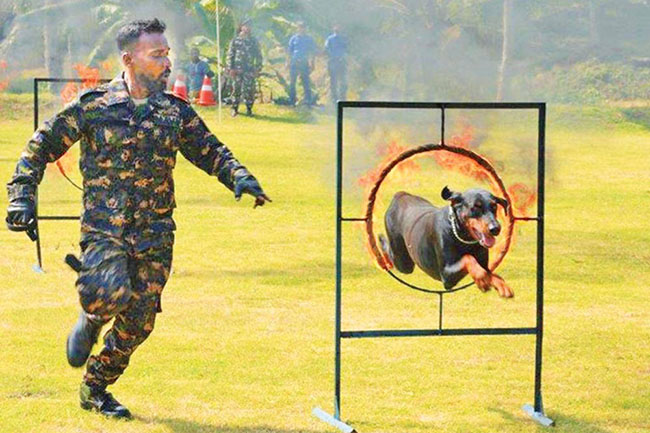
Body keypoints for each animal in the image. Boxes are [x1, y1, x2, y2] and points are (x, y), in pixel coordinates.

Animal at [380, 186, 512, 296]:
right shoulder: (446, 276)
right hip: (403, 260)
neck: (464, 239)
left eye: (494, 206)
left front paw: (502, 285)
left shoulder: (484, 264)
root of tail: (400, 195)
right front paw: (481, 278)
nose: (495, 229)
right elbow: (468, 258)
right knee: (392, 253)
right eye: (475, 207)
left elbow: (490, 273)